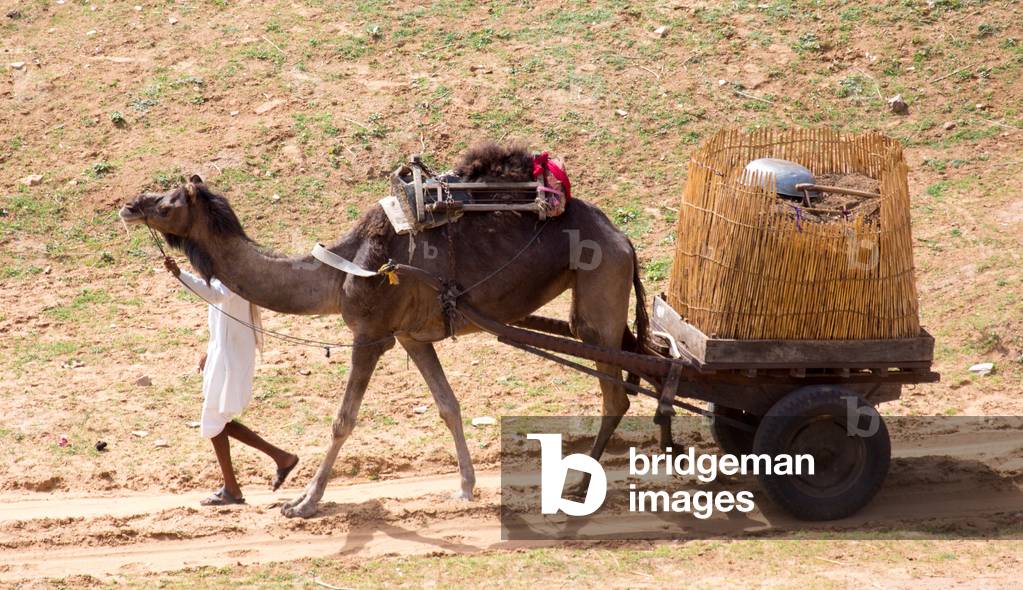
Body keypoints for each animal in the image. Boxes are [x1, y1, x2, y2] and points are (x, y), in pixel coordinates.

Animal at [120, 142, 648, 518]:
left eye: (167, 204)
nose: (128, 205)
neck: (341, 269)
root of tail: (624, 239)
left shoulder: (371, 335)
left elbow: (343, 419)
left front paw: (304, 503)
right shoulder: (411, 336)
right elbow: (448, 405)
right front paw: (465, 488)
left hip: (598, 301)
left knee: (616, 394)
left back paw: (581, 485)